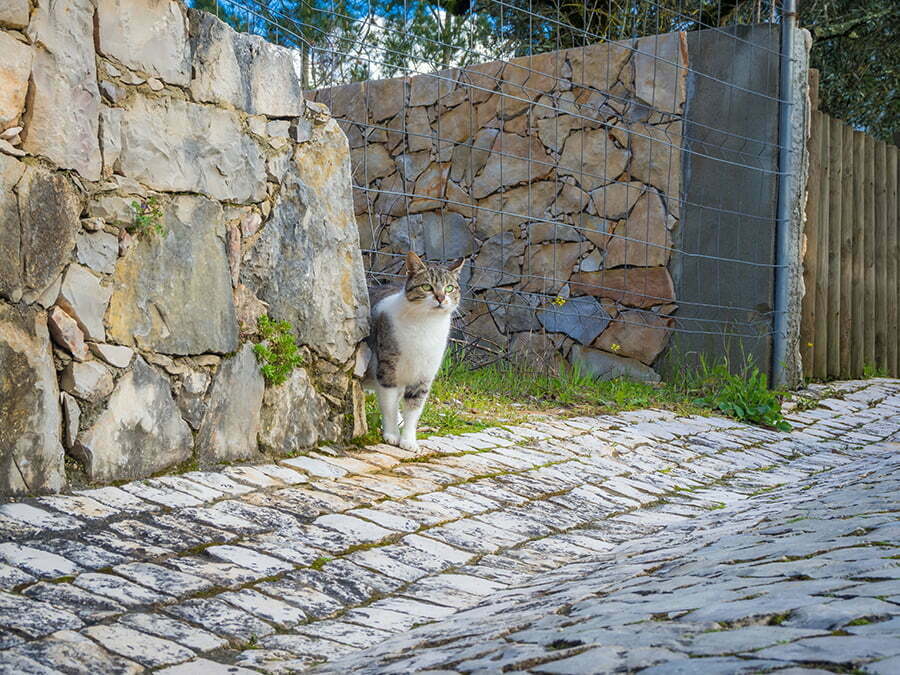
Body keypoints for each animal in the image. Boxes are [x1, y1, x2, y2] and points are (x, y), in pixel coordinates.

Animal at [364, 251, 464, 452]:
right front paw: (392, 435)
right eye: (427, 286)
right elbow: (388, 405)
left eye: (449, 288)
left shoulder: (423, 376)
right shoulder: (388, 370)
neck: (425, 324)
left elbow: (414, 409)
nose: (441, 298)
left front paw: (408, 441)